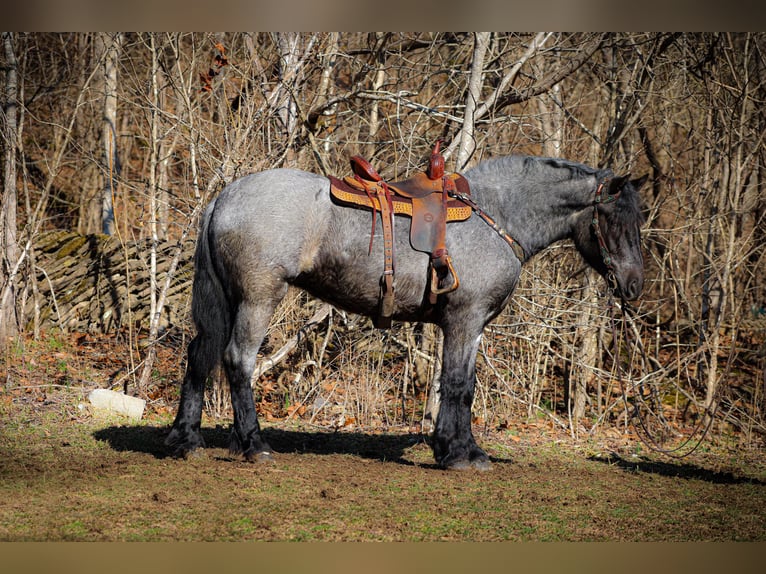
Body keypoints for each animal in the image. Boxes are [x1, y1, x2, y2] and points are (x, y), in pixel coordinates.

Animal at [165, 154, 647, 470]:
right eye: (614, 219)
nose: (634, 285)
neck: (495, 216)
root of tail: (225, 198)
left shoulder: (470, 328)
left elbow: (458, 385)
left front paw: (456, 447)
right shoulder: (465, 321)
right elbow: (458, 385)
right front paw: (459, 454)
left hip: (225, 302)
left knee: (200, 357)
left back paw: (186, 440)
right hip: (258, 298)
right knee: (237, 361)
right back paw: (254, 445)